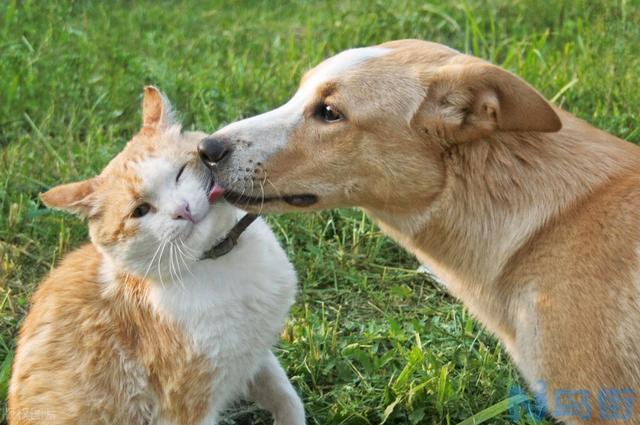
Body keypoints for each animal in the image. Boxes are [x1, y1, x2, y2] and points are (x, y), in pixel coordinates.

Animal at [6, 87, 302, 424]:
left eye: (181, 172)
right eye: (140, 210)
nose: (182, 210)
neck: (220, 260)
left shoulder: (255, 354)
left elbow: (286, 397)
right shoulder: (187, 407)